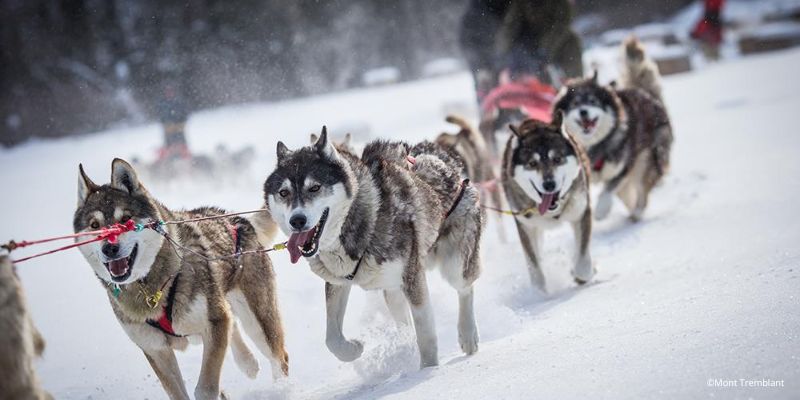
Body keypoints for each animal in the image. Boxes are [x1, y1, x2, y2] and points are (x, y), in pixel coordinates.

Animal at [74, 159, 288, 400]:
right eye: (94, 225)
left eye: (126, 219)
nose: (109, 248)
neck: (150, 288)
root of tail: (237, 220)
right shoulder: (156, 350)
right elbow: (177, 392)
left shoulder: (214, 324)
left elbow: (205, 388)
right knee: (234, 327)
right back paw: (247, 362)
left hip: (257, 320)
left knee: (278, 357)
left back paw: (281, 389)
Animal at [266, 128, 484, 368]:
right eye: (284, 193)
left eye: (314, 187)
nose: (297, 220)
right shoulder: (338, 281)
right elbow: (332, 338)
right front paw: (352, 349)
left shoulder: (413, 279)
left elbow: (426, 334)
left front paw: (429, 371)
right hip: (392, 291)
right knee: (403, 319)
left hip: (454, 265)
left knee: (465, 288)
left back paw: (468, 334)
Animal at [500, 114, 592, 290]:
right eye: (532, 163)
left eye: (557, 159)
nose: (549, 184)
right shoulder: (526, 226)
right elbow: (534, 266)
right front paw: (538, 292)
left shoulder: (581, 211)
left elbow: (583, 257)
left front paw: (581, 273)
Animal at [552, 72, 672, 222]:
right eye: (575, 104)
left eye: (593, 101)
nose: (583, 111)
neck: (593, 145)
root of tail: (649, 96)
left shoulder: (621, 169)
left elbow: (606, 192)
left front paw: (600, 211)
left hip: (646, 160)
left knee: (642, 190)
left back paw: (637, 212)